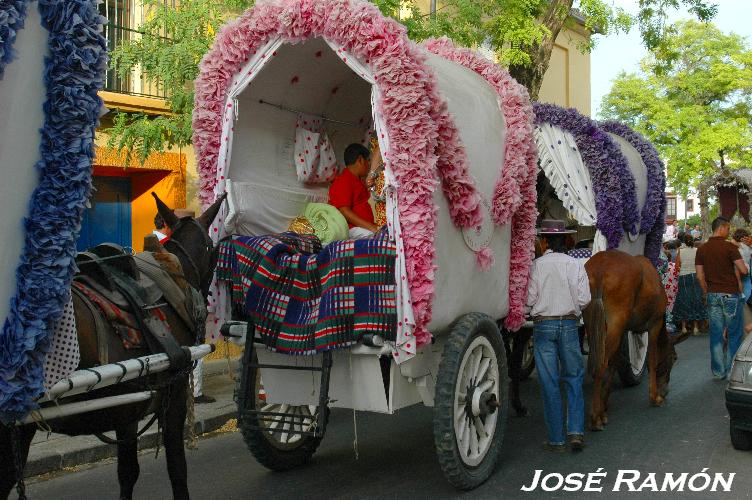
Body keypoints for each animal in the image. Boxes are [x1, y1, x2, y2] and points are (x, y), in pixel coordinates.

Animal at [584, 250, 684, 430]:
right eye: (674, 358)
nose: (665, 391)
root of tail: (600, 269)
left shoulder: (624, 330)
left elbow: (615, 362)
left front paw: (604, 404)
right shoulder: (654, 324)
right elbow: (652, 359)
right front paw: (654, 396)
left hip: (593, 322)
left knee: (597, 362)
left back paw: (597, 411)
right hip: (616, 318)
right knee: (601, 364)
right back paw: (595, 418)